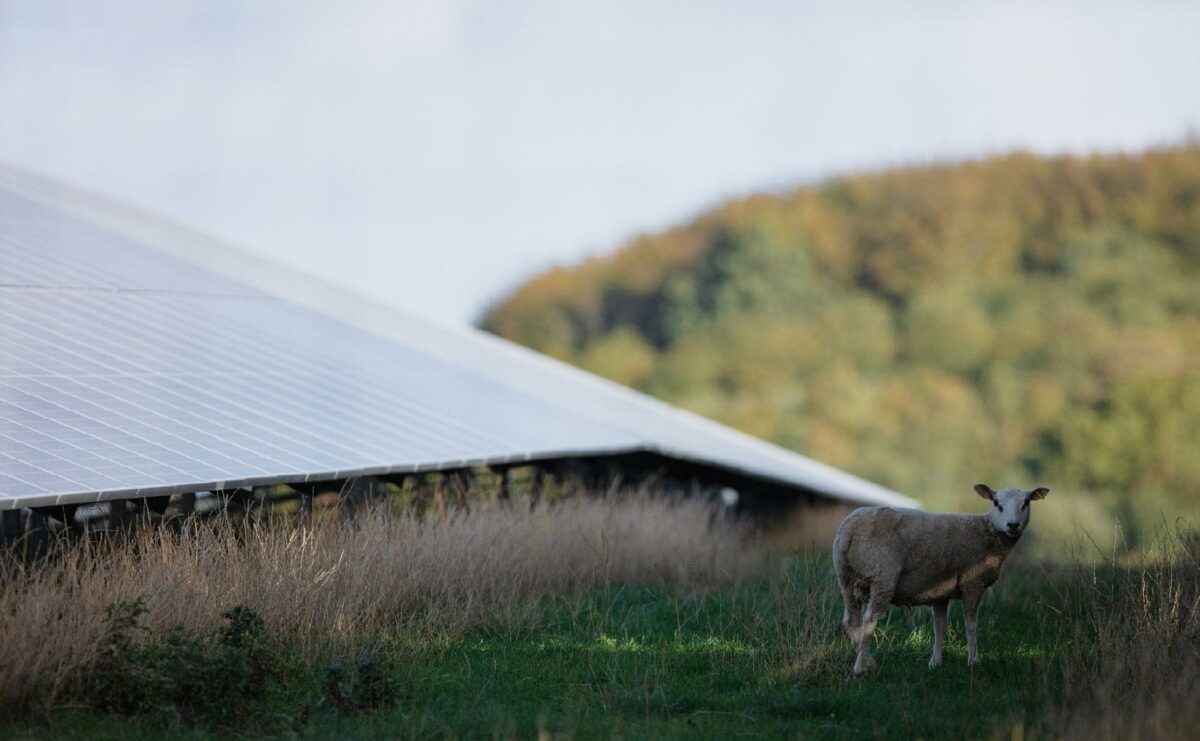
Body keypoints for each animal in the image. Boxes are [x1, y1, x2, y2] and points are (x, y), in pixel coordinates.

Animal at [835, 482, 1051, 671]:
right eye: (997, 503)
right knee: (868, 622)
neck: (987, 535)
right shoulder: (973, 582)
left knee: (851, 620)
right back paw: (860, 667)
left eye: (1026, 503)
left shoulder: (940, 590)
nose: (1013, 525)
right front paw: (974, 661)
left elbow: (940, 627)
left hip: (846, 577)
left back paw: (867, 660)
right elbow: (971, 625)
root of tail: (850, 527)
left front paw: (935, 663)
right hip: (882, 576)